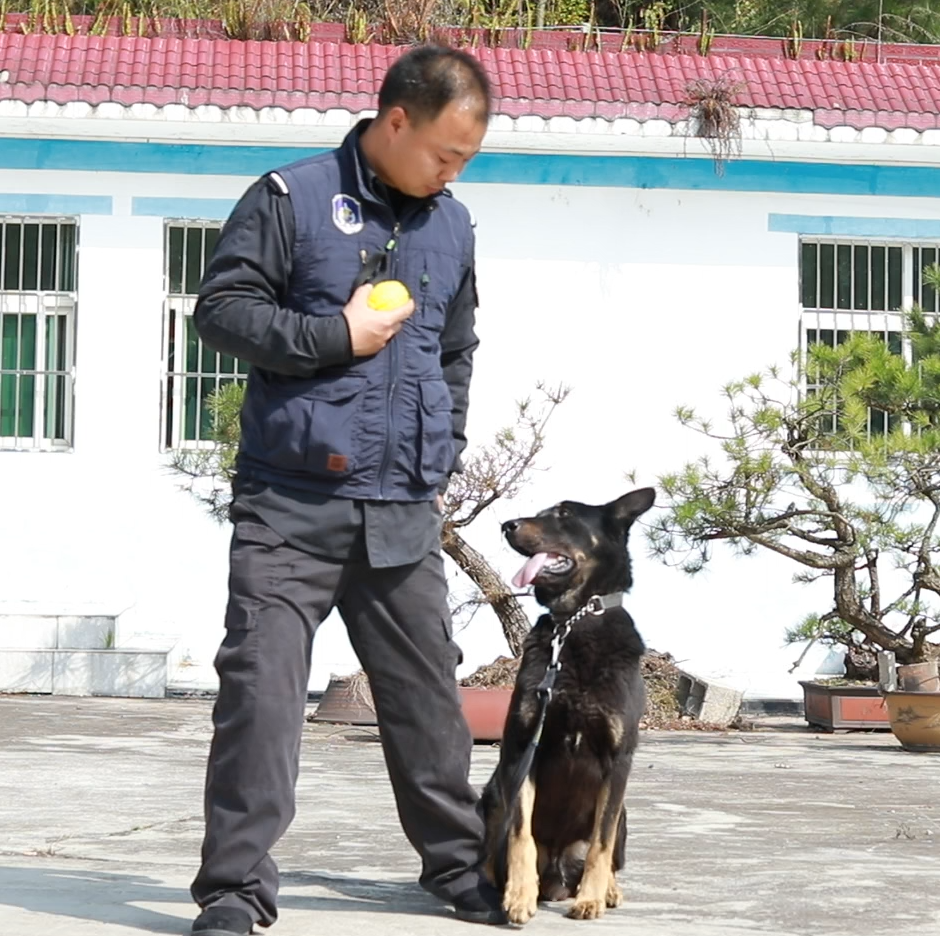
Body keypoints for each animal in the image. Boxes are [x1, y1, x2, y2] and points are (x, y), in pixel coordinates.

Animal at [478, 486, 652, 924]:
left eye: (564, 514)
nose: (507, 525)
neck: (575, 621)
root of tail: (558, 872)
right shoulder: (523, 745)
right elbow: (519, 832)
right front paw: (519, 894)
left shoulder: (618, 759)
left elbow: (601, 843)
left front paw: (591, 897)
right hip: (491, 791)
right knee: (492, 845)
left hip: (624, 811)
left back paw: (608, 889)